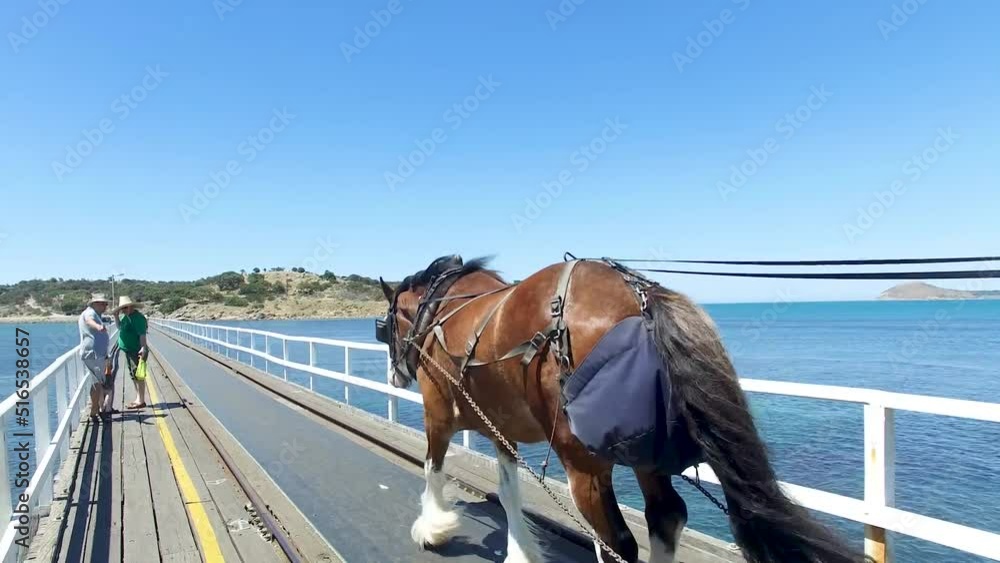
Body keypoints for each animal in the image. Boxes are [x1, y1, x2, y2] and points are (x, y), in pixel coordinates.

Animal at [376, 254, 864, 563]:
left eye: (385, 324)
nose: (394, 375)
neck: (440, 315)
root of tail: (640, 298)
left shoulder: (438, 412)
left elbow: (433, 468)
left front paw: (433, 528)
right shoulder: (500, 427)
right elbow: (509, 490)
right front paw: (520, 552)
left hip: (585, 464)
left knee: (619, 542)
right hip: (645, 453)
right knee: (667, 516)